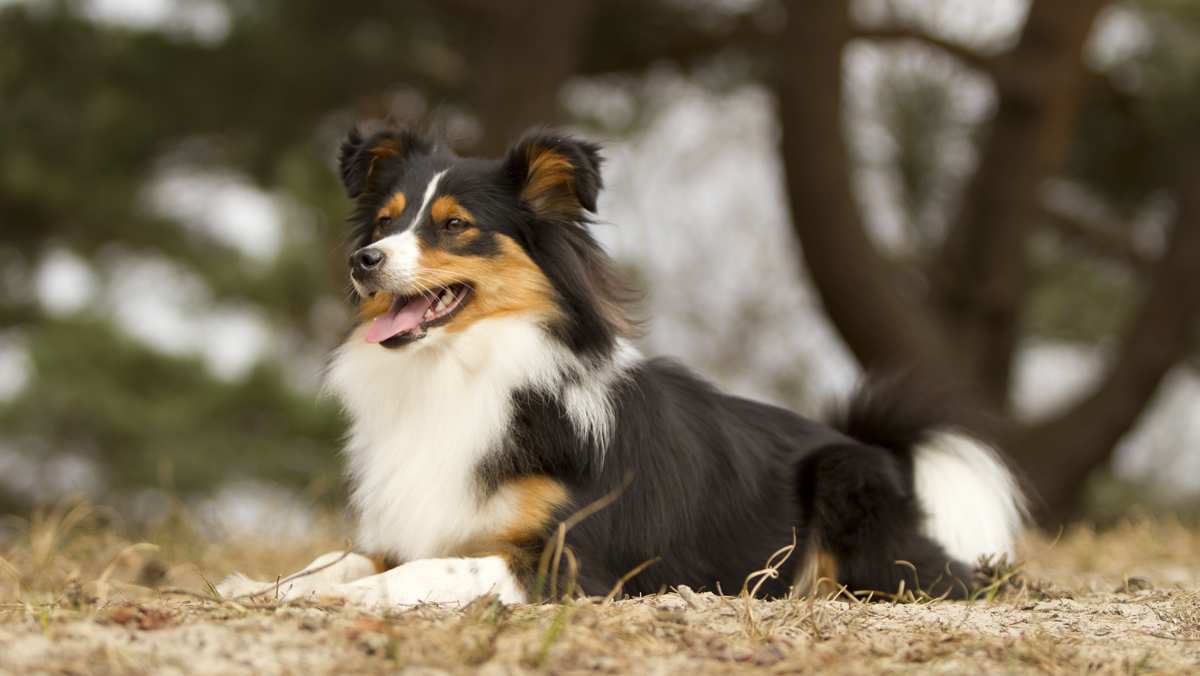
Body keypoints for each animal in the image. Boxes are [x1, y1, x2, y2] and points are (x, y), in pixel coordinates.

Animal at [216, 127, 1022, 607]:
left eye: (454, 226)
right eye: (384, 222)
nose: (364, 261)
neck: (465, 369)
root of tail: (869, 445)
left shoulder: (568, 559)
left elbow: (427, 570)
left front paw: (340, 601)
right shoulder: (418, 521)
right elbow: (341, 556)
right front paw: (261, 585)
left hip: (843, 491)